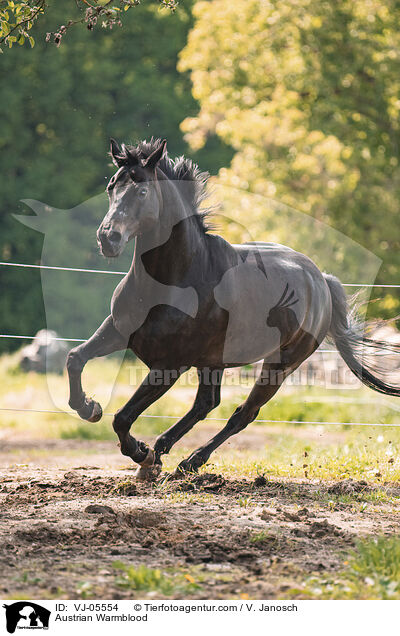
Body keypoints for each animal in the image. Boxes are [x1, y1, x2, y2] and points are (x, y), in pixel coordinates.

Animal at [67, 138, 398, 476]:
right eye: (112, 186)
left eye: (143, 191)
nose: (108, 238)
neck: (174, 280)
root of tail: (322, 280)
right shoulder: (118, 331)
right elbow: (75, 358)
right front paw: (89, 408)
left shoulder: (169, 365)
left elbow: (122, 417)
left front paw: (141, 454)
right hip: (213, 362)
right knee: (206, 404)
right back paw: (165, 452)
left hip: (281, 364)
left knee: (243, 413)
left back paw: (188, 460)